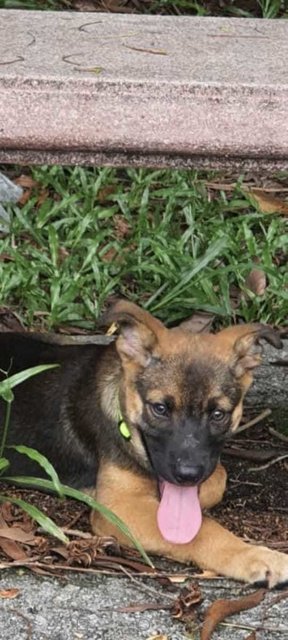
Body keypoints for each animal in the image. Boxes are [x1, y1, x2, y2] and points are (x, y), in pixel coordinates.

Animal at [1, 302, 286, 588]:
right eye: (160, 408)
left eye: (218, 414)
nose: (187, 476)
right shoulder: (118, 507)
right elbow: (202, 530)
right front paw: (255, 556)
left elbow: (218, 478)